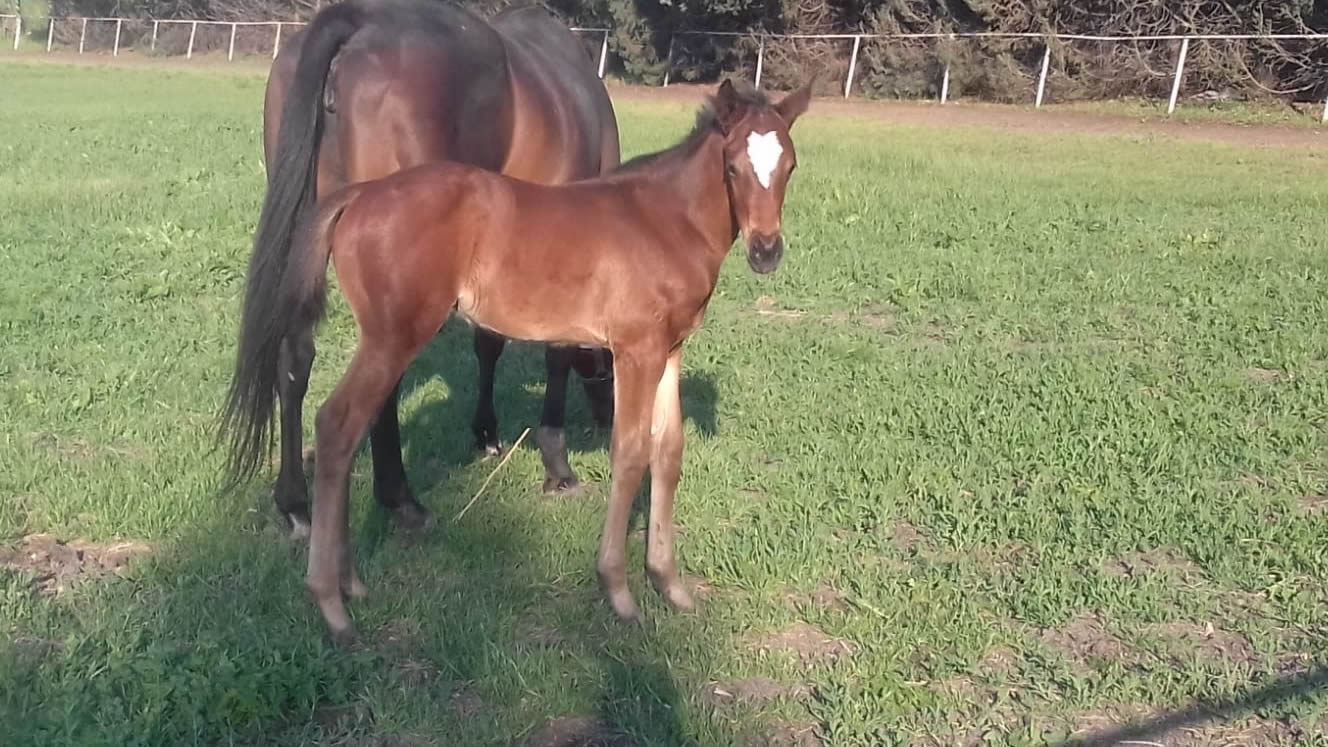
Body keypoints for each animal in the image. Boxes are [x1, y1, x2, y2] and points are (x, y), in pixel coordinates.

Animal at [220, 80, 807, 640]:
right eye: (732, 167)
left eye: (790, 166)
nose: (766, 251)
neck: (664, 219)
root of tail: (359, 194)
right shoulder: (635, 348)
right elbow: (630, 452)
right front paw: (619, 594)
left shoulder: (669, 350)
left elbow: (669, 451)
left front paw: (669, 584)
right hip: (392, 337)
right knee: (338, 425)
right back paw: (332, 605)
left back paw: (349, 583)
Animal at [223, 0, 621, 534]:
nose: (608, 418)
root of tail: (357, 24)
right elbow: (554, 350)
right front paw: (557, 465)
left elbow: (488, 341)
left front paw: (486, 432)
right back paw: (400, 499)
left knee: (295, 355)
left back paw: (295, 504)